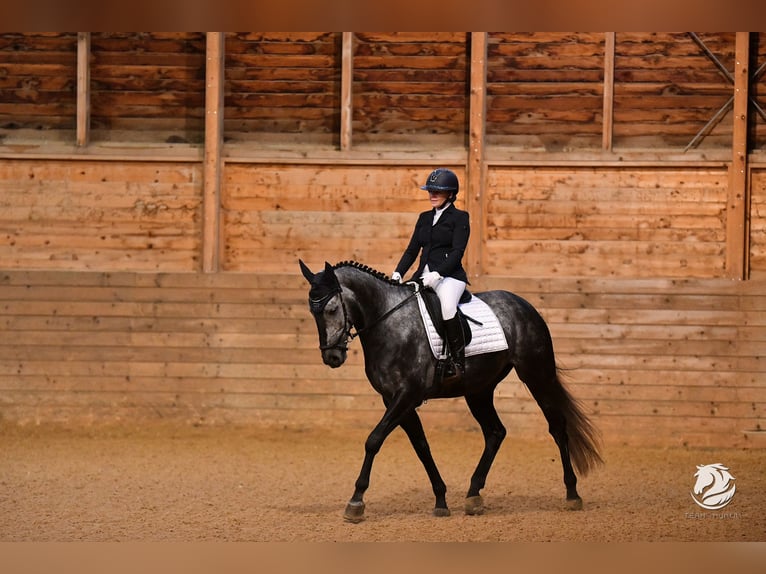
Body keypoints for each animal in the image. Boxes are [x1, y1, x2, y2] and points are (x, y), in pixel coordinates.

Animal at [299, 259, 603, 522]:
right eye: (313, 312)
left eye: (331, 309)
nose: (332, 357)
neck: (389, 323)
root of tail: (524, 305)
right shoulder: (395, 400)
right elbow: (421, 446)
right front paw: (441, 500)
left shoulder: (406, 396)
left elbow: (373, 440)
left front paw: (356, 501)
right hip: (478, 390)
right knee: (495, 432)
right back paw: (473, 496)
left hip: (537, 375)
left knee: (557, 427)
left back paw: (572, 494)